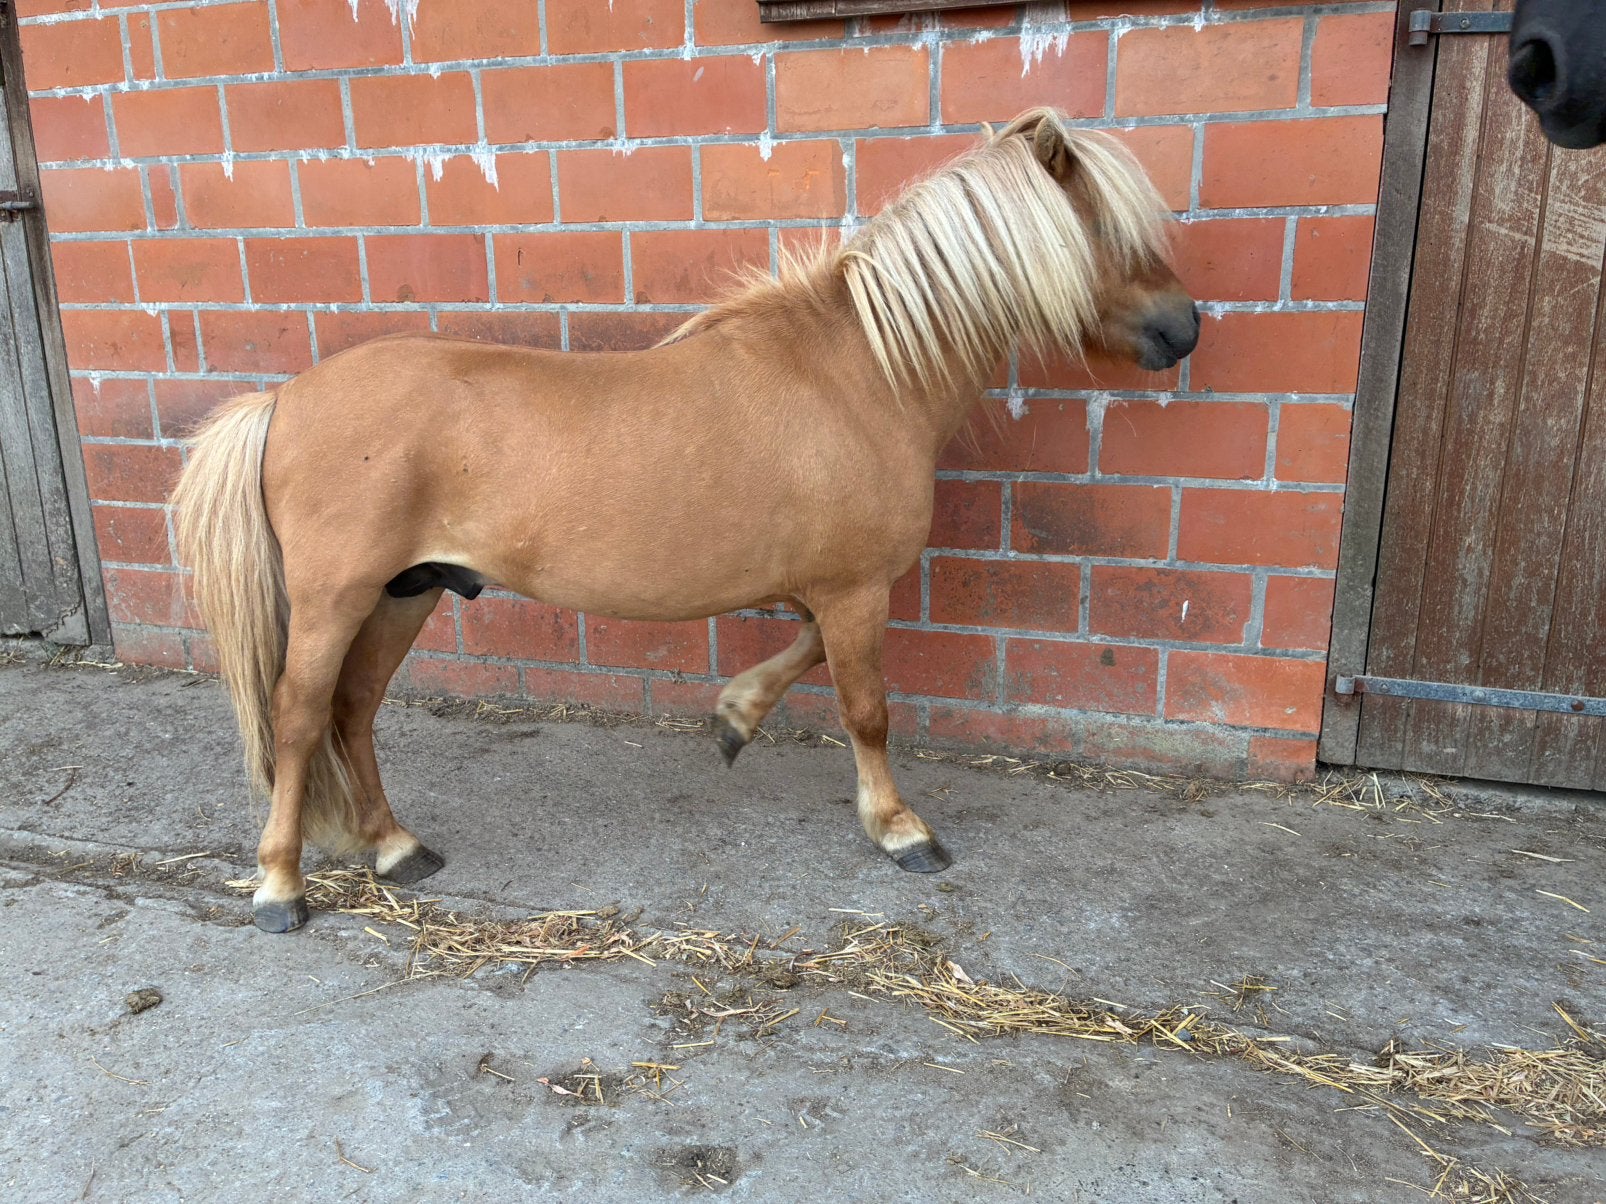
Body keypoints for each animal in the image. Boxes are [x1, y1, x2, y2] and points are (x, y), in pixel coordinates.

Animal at [171, 108, 1200, 934]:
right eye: (1105, 229)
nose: (1185, 329)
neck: (861, 372)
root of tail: (283, 400)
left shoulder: (823, 587)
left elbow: (805, 658)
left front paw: (735, 718)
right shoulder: (855, 588)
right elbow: (867, 708)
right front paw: (899, 830)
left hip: (405, 594)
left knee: (353, 709)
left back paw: (394, 847)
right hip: (337, 598)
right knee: (298, 716)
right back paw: (280, 888)